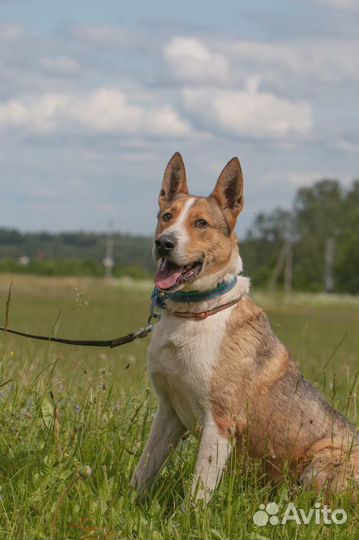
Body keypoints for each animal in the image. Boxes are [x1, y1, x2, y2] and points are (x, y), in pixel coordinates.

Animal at [131, 151, 359, 502]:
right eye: (167, 216)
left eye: (201, 223)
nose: (163, 243)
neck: (194, 312)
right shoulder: (168, 411)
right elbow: (143, 469)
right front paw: (126, 503)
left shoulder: (220, 421)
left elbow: (198, 491)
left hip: (321, 463)